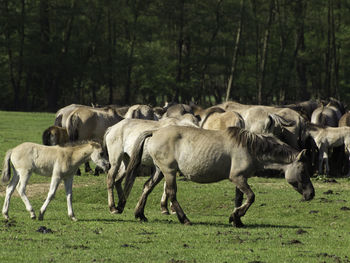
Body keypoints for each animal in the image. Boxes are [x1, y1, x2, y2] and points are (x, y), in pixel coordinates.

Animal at [123, 127, 314, 228]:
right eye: (303, 171)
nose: (311, 194)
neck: (250, 148)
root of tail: (155, 131)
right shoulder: (237, 178)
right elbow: (251, 197)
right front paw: (235, 216)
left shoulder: (241, 180)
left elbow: (240, 199)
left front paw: (237, 219)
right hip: (169, 172)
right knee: (171, 194)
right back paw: (184, 219)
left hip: (160, 171)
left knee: (147, 187)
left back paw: (140, 214)